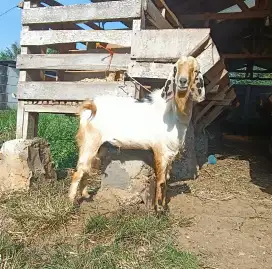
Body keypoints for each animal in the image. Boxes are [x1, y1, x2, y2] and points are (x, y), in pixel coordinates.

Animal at [69, 56, 205, 211]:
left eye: (195, 70)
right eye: (176, 68)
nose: (182, 81)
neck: (173, 111)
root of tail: (92, 106)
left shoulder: (170, 154)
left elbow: (167, 180)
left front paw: (164, 206)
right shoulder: (161, 151)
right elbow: (161, 181)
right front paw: (159, 209)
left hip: (99, 147)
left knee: (86, 169)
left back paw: (85, 195)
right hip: (89, 143)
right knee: (78, 172)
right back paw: (71, 203)